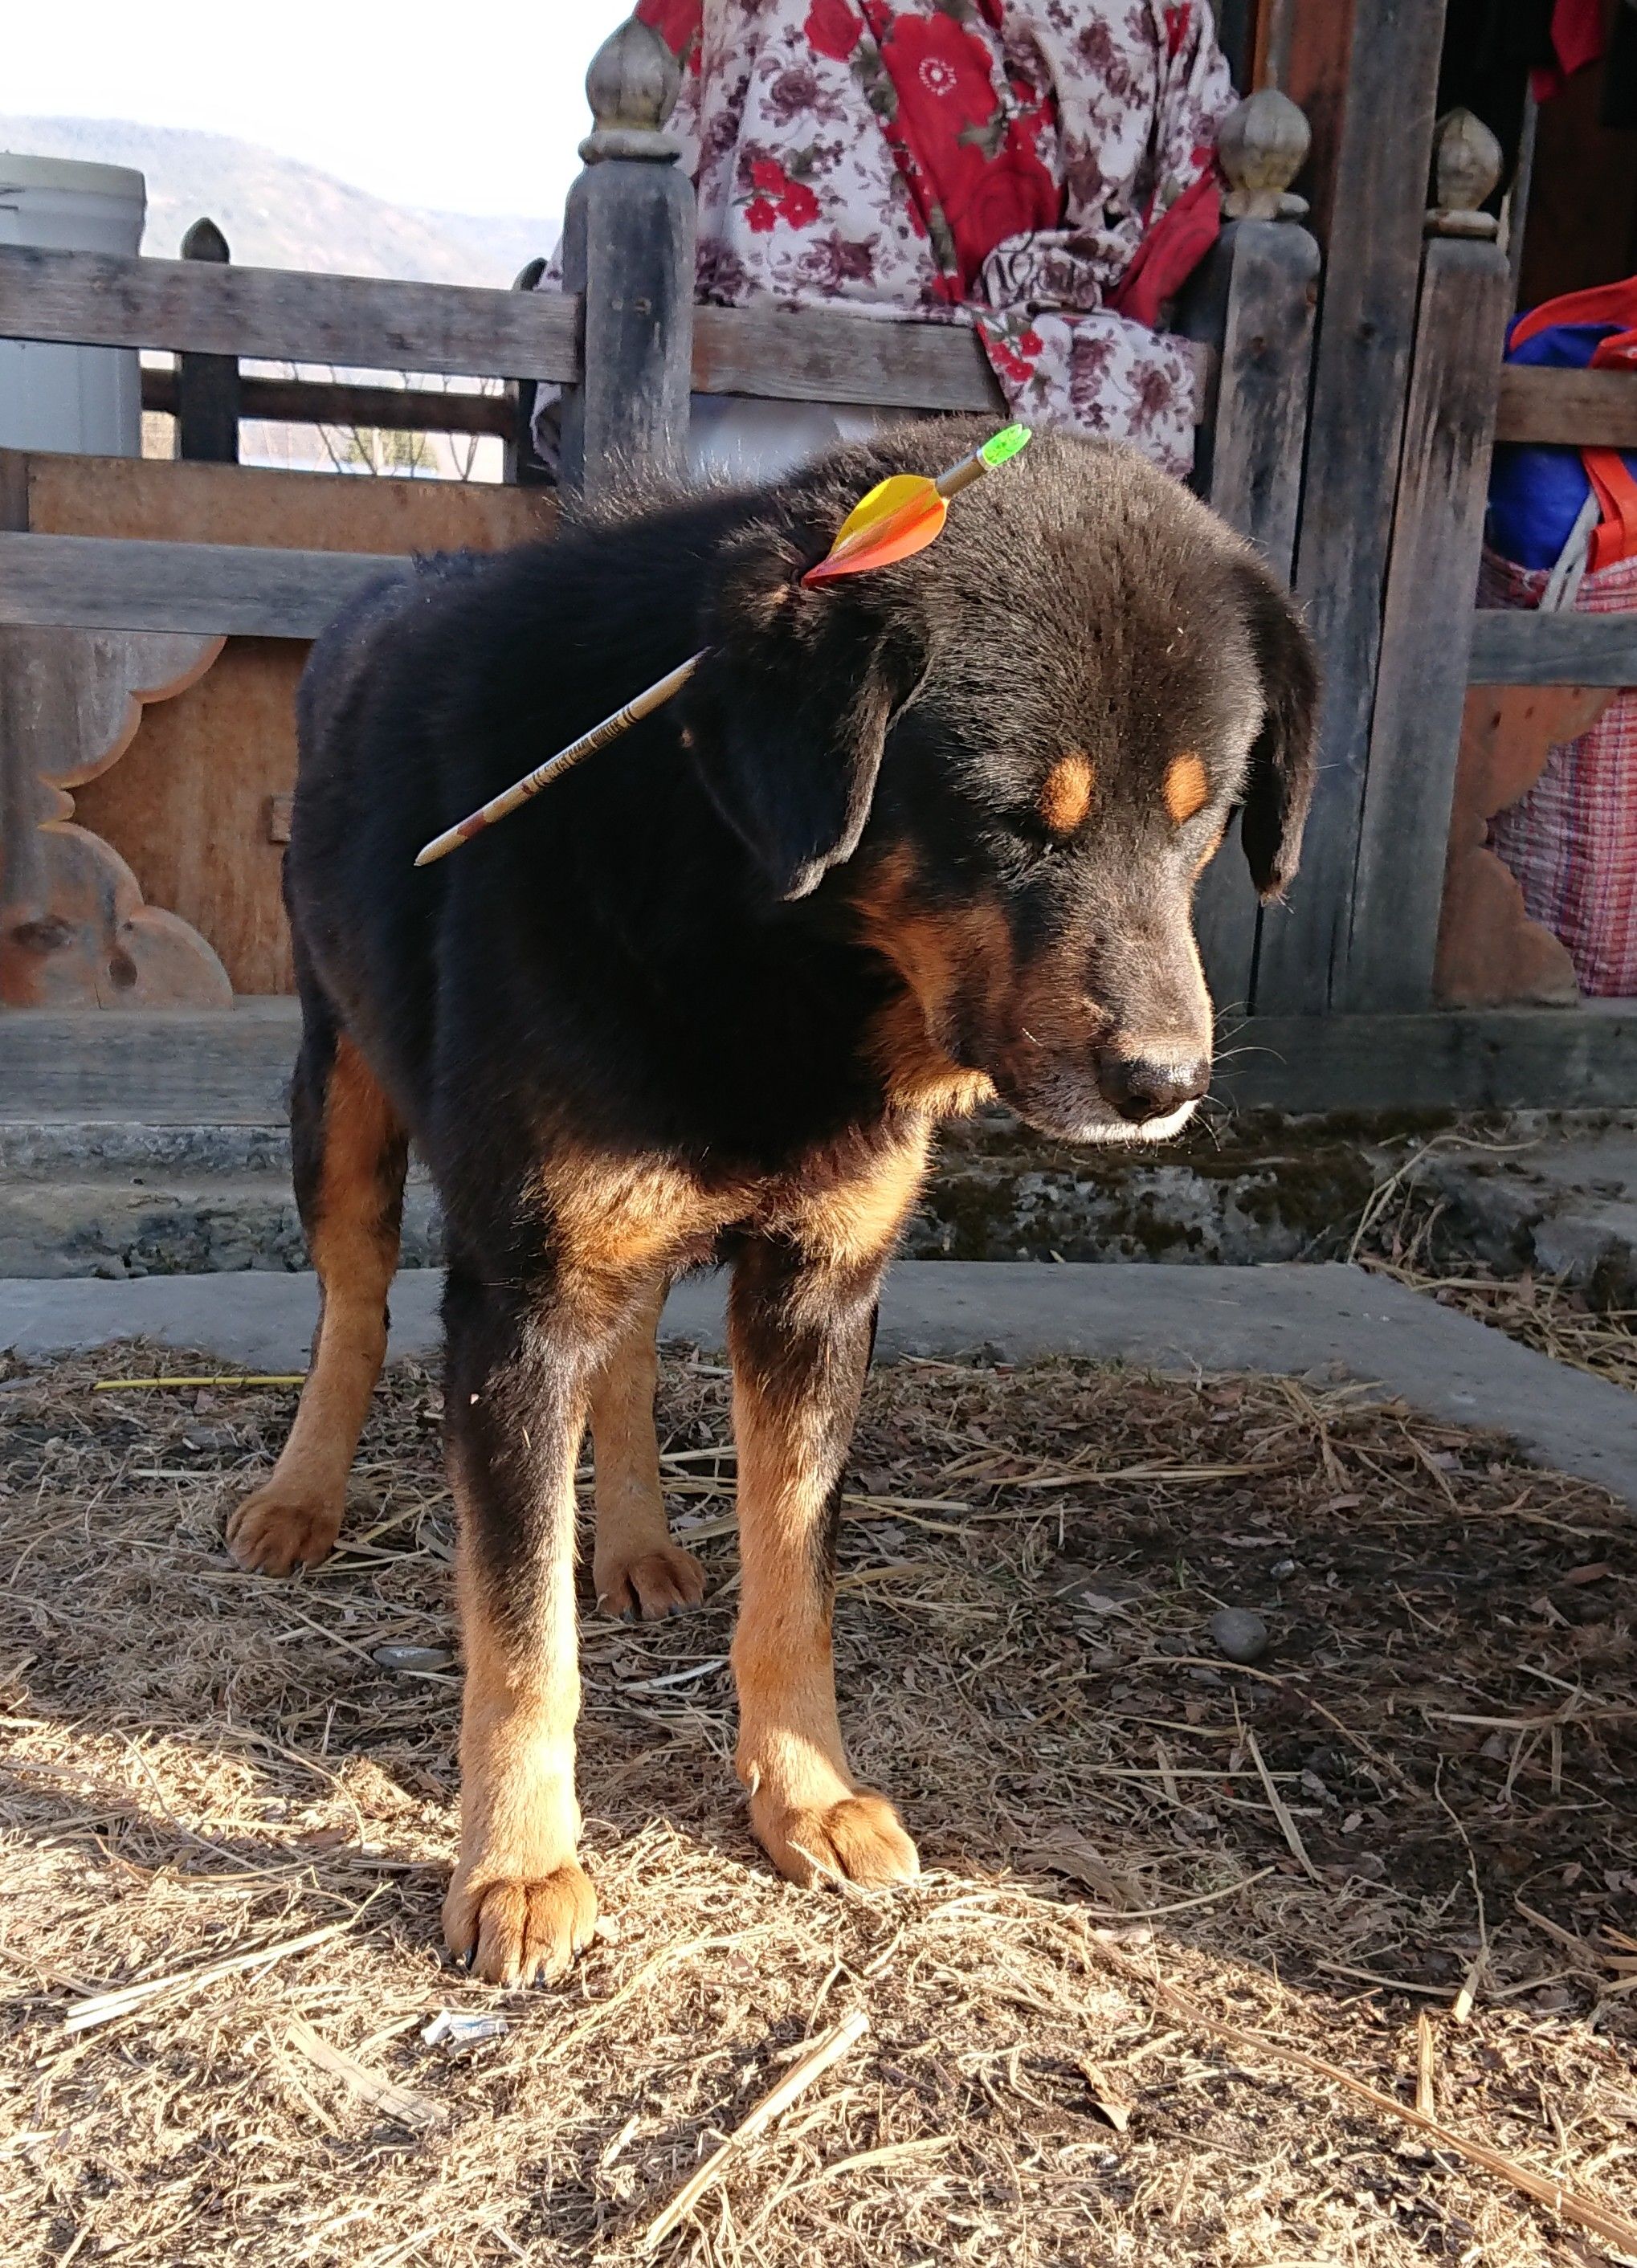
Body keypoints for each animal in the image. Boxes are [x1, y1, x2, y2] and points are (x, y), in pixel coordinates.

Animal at [227, 426, 1315, 1986]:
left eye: (1206, 819)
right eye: (1006, 822)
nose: (1163, 1083)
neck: (763, 937)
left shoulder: (815, 1287)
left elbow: (792, 1576)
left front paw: (805, 1791)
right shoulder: (517, 1304)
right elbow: (519, 1633)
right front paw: (519, 1863)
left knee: (624, 1357)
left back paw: (631, 1541)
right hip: (344, 1100)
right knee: (352, 1303)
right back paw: (300, 1497)